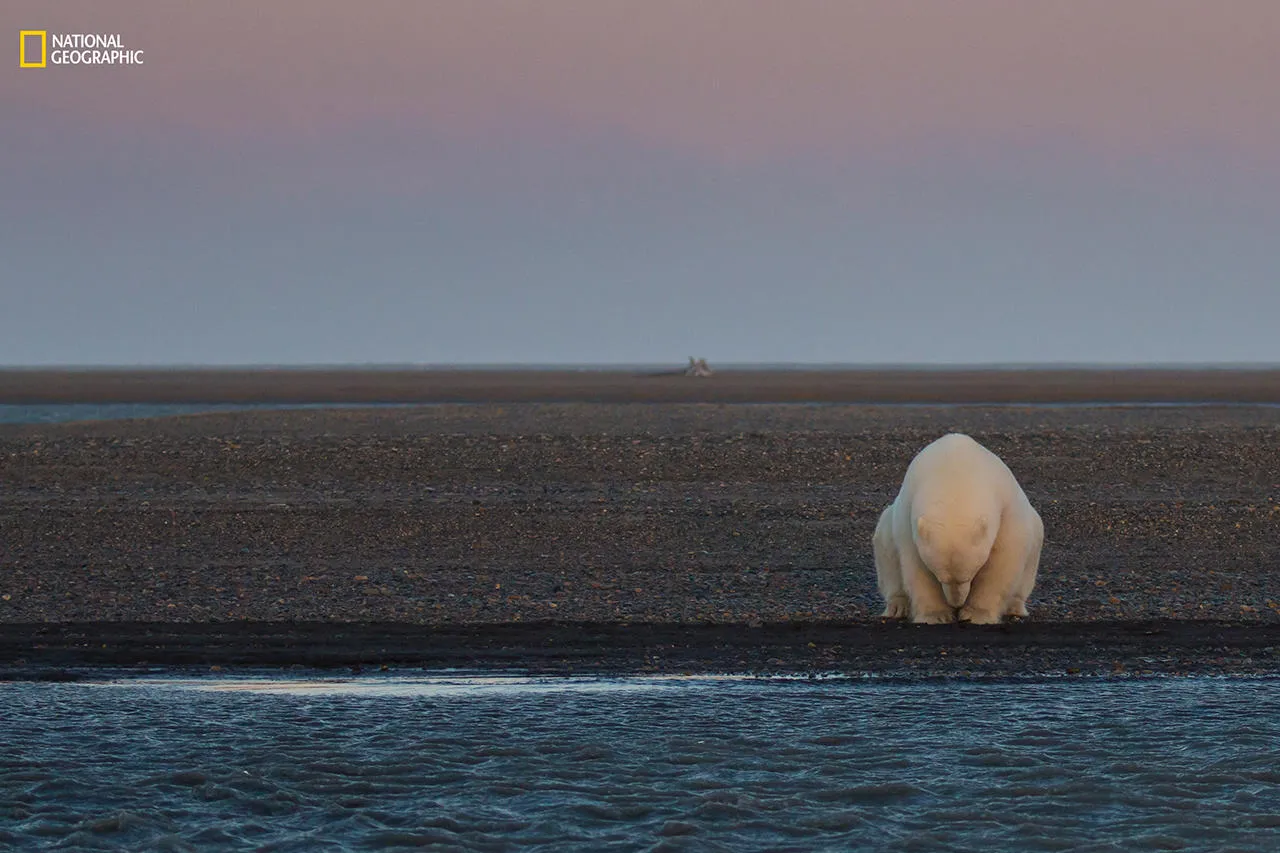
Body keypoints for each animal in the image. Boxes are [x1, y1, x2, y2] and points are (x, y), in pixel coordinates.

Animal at [875, 432, 1044, 625]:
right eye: (940, 577)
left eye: (968, 577)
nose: (956, 604)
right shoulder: (907, 516)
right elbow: (916, 567)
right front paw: (936, 615)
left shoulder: (1006, 508)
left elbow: (1001, 562)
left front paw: (977, 615)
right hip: (887, 527)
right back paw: (897, 607)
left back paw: (1014, 608)